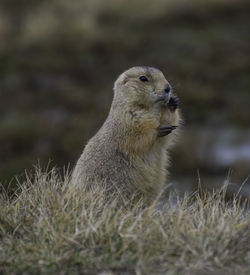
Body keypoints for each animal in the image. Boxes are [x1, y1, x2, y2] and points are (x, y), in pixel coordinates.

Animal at [71, 66, 181, 205]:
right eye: (143, 78)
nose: (168, 88)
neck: (151, 108)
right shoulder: (128, 117)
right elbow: (136, 134)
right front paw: (157, 130)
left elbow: (165, 137)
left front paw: (173, 102)